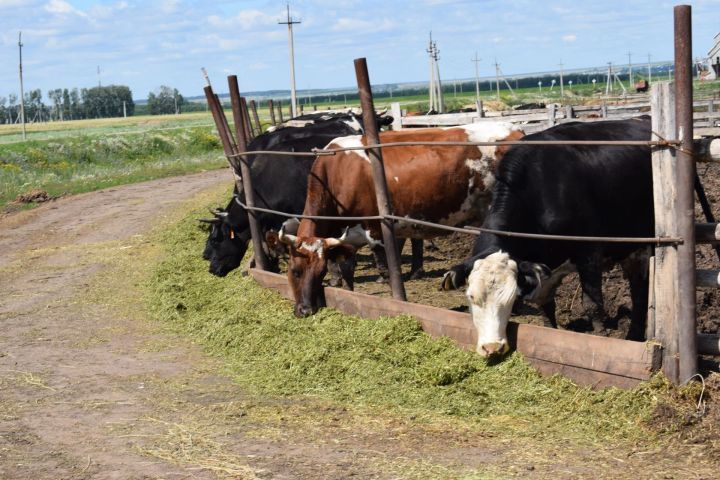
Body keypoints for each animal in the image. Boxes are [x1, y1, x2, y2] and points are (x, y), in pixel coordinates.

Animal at [278, 122, 524, 316]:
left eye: (317, 272)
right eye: (295, 271)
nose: (304, 310)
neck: (335, 174)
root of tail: (514, 129)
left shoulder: (375, 230)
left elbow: (385, 270)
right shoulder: (346, 240)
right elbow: (347, 272)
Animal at [442, 116, 656, 356]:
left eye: (511, 298)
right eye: (471, 296)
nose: (492, 347)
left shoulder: (589, 253)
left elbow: (592, 305)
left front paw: (601, 338)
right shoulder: (542, 268)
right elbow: (545, 306)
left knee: (640, 293)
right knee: (639, 288)